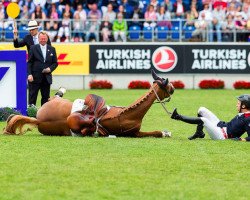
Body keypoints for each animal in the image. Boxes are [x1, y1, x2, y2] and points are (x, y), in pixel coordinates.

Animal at [2, 70, 175, 138]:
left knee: (52, 97)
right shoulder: (134, 134)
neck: (126, 115)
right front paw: (166, 133)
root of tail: (38, 120)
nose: (173, 88)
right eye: (167, 84)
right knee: (53, 97)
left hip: (58, 104)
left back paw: (62, 90)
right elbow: (156, 132)